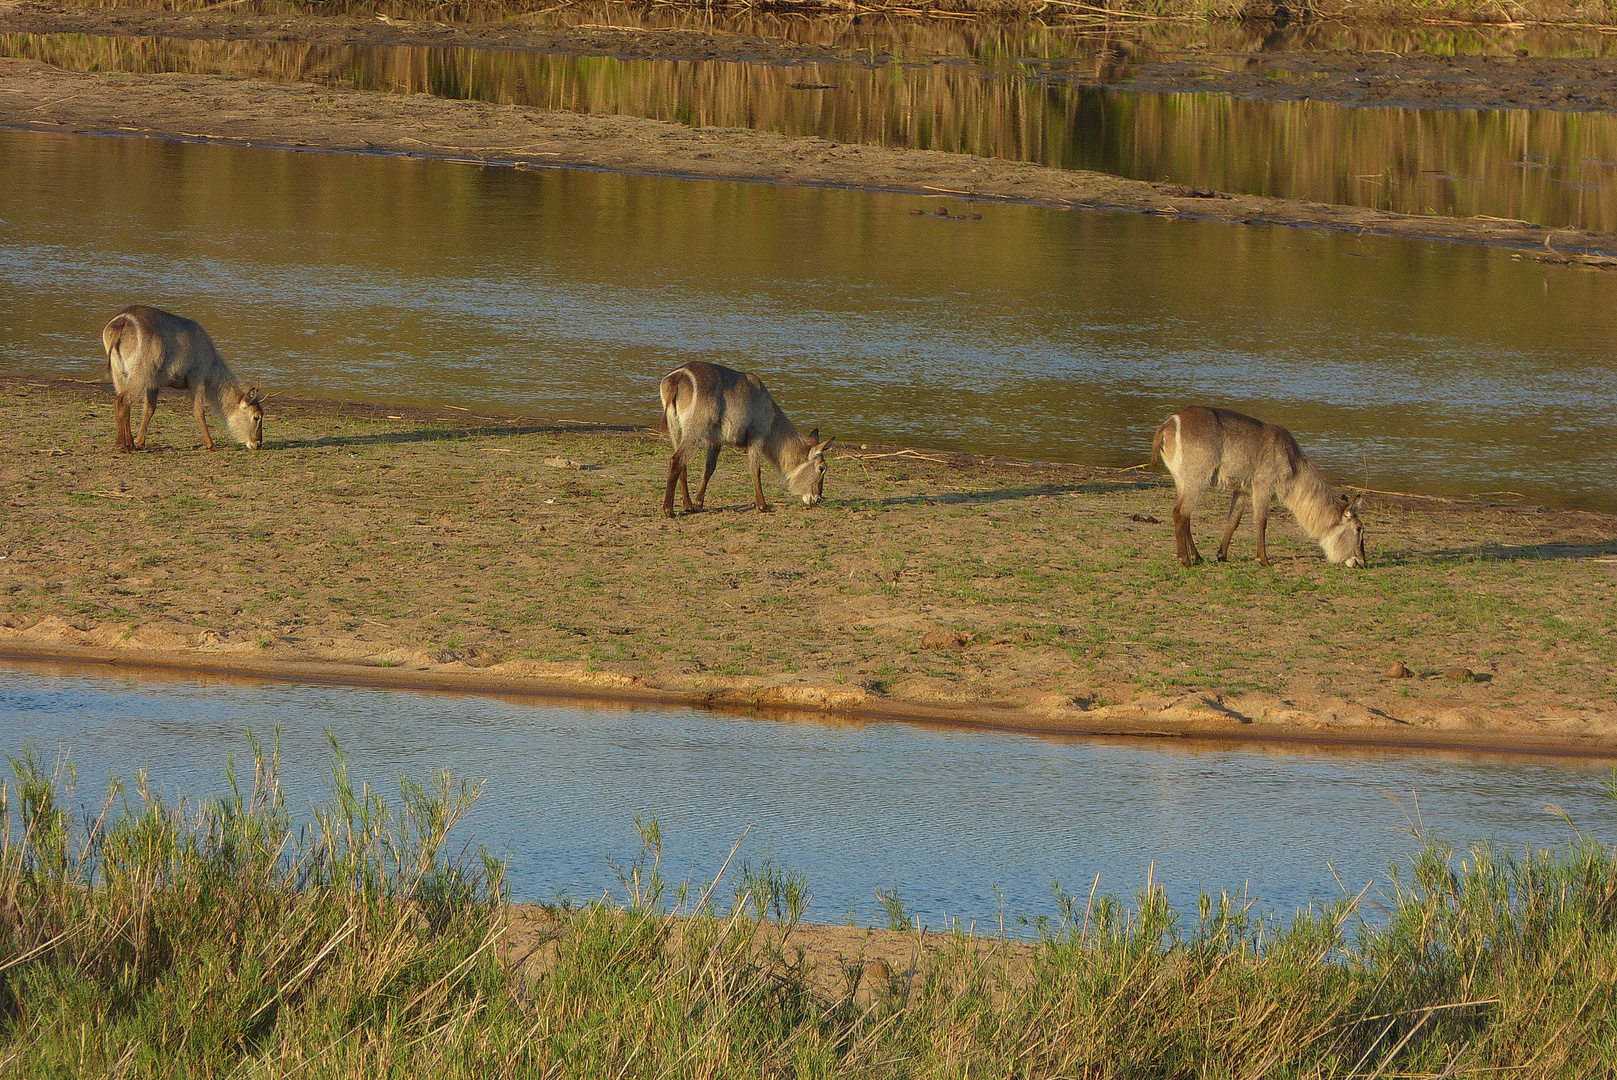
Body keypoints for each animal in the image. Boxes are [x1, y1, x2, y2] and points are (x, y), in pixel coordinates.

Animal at [100, 305, 263, 452]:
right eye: (257, 416)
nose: (258, 443)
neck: (212, 363)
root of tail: (123, 321)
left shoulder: (154, 384)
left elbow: (149, 410)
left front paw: (140, 442)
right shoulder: (197, 377)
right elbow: (199, 410)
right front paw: (211, 445)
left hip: (119, 373)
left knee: (123, 402)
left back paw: (130, 444)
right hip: (140, 372)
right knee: (122, 400)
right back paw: (123, 446)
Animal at [656, 360, 834, 517]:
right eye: (821, 468)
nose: (817, 499)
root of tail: (677, 378)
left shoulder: (715, 439)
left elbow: (709, 469)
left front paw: (699, 502)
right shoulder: (758, 435)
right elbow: (755, 469)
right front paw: (763, 506)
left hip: (676, 428)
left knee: (682, 464)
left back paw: (688, 505)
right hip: (695, 429)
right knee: (676, 460)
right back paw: (668, 510)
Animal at [1151, 407, 1364, 569]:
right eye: (1359, 528)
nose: (1361, 561)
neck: (1292, 460)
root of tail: (1168, 424)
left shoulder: (1243, 489)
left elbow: (1233, 521)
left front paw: (1222, 555)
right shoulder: (1263, 486)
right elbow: (1261, 522)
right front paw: (1264, 560)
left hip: (1183, 481)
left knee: (1186, 516)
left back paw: (1198, 556)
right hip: (1196, 479)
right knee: (1179, 513)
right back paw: (1186, 560)